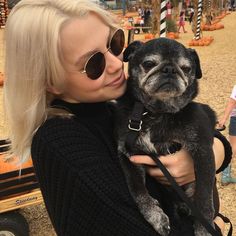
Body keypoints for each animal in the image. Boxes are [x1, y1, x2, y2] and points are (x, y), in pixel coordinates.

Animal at [115, 37, 217, 235]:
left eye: (186, 68)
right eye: (148, 64)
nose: (169, 69)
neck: (156, 113)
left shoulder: (203, 152)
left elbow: (203, 196)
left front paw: (204, 228)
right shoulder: (128, 155)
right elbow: (137, 191)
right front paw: (155, 216)